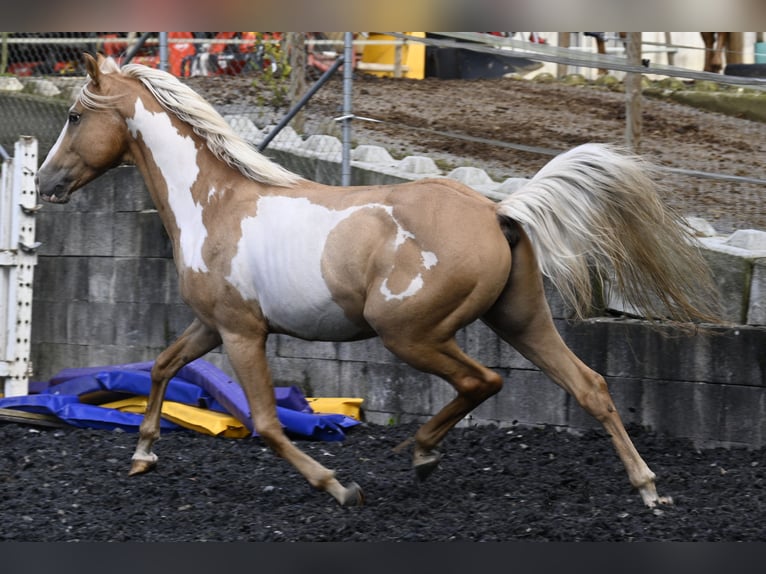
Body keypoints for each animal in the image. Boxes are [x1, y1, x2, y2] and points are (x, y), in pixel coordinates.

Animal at [34, 54, 720, 510]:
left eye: (74, 115)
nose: (45, 183)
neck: (216, 203)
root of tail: (498, 209)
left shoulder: (242, 332)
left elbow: (267, 423)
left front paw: (340, 487)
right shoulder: (211, 324)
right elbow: (160, 366)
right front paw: (142, 454)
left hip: (409, 332)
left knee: (484, 380)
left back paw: (420, 452)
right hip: (520, 319)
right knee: (591, 386)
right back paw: (647, 489)